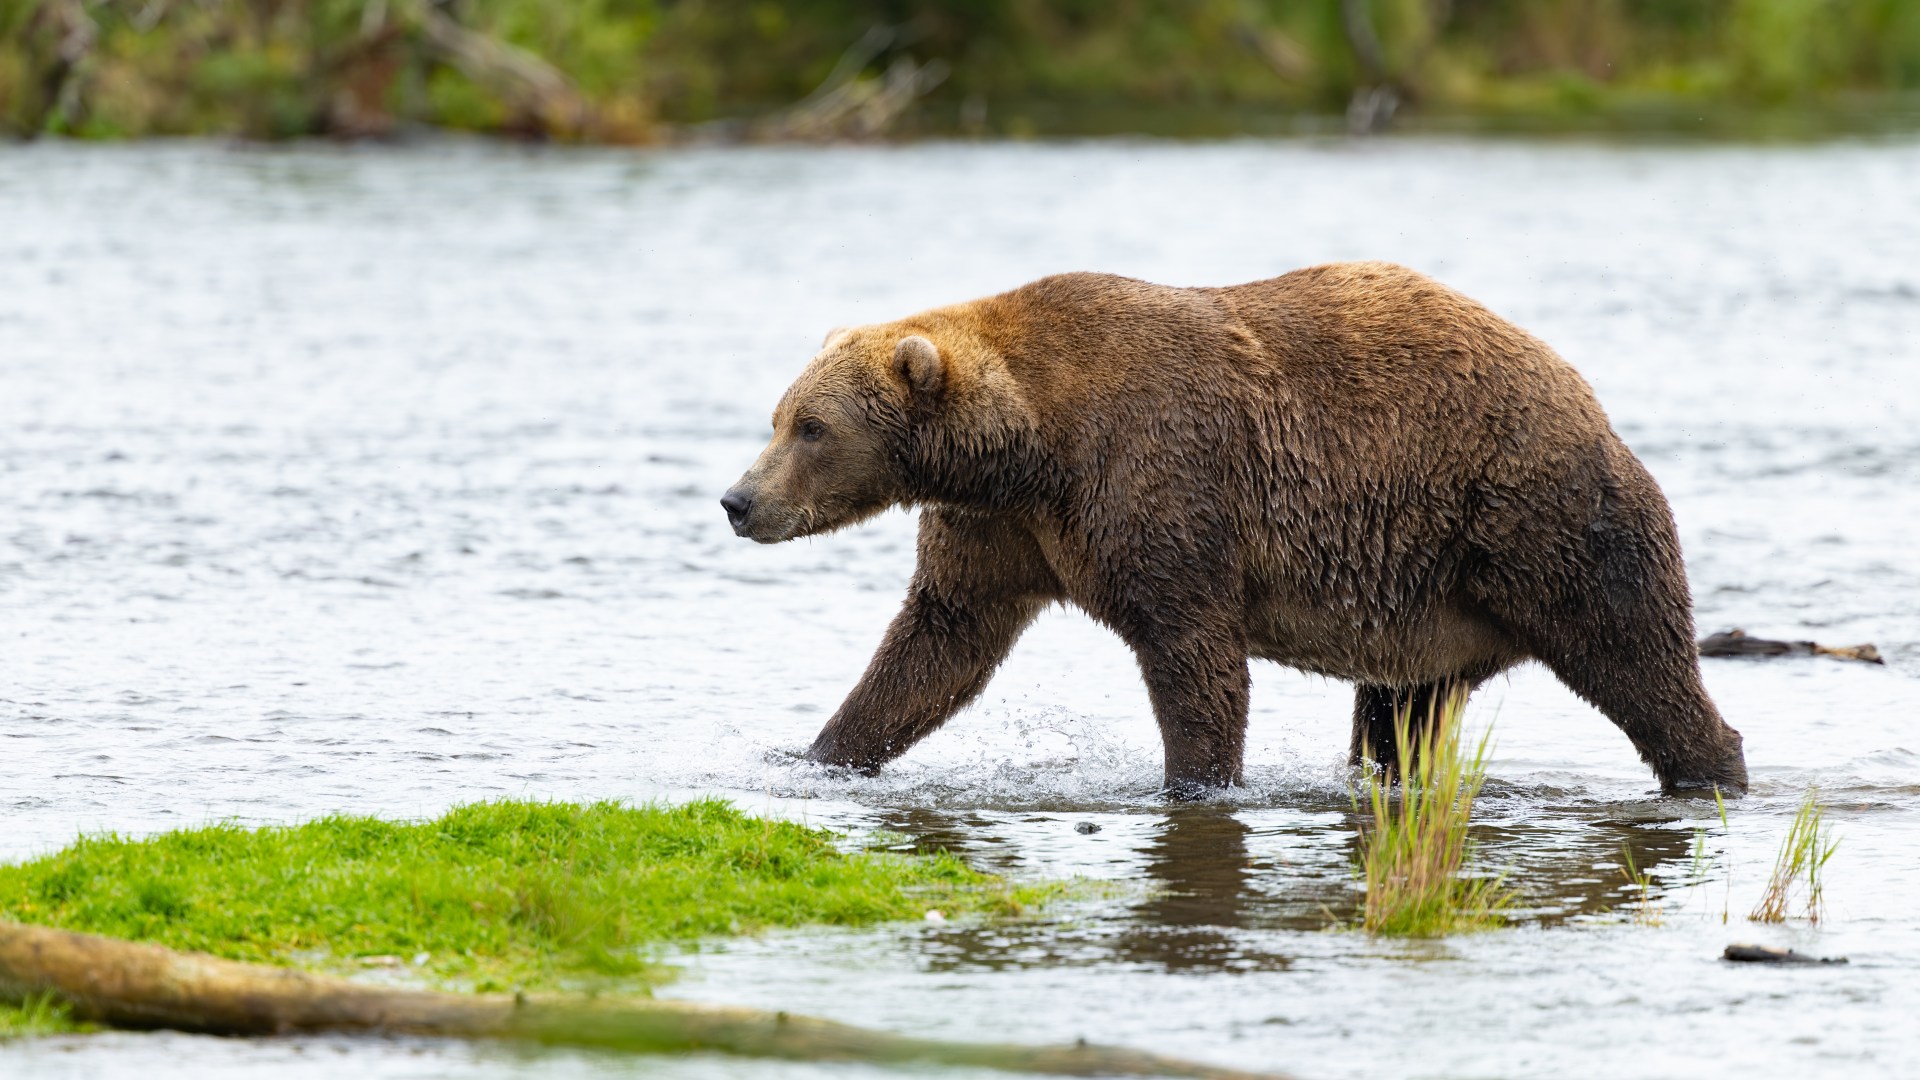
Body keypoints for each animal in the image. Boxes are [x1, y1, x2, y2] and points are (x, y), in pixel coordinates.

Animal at [720, 262, 1748, 798]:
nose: (738, 500)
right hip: (1423, 601)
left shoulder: (1158, 482)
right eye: (779, 416)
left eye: (811, 427)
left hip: (1534, 519)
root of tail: (1588, 399)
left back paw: (1710, 768)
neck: (1029, 445)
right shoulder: (999, 530)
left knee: (1632, 650)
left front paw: (1195, 780)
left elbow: (1193, 655)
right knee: (1401, 714)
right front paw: (817, 754)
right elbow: (936, 643)